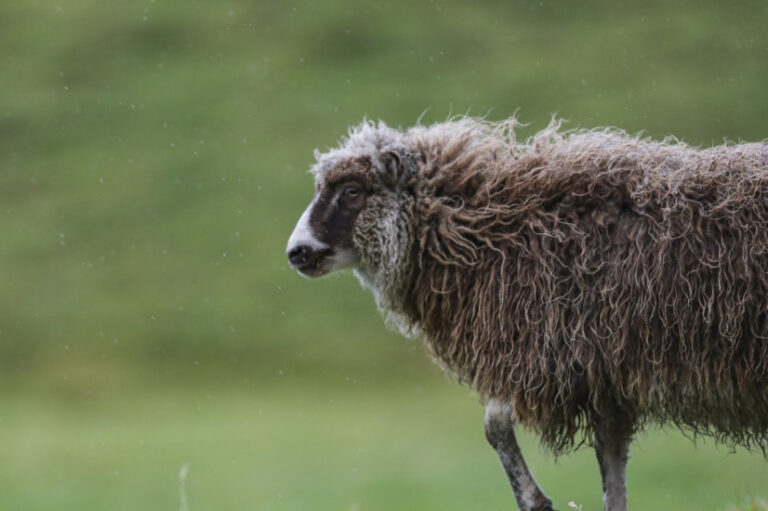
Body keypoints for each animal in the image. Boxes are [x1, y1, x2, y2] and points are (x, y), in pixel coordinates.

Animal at [284, 118, 768, 511]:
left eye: (352, 190)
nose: (297, 252)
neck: (488, 231)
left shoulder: (546, 354)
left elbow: (494, 426)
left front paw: (535, 501)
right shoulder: (602, 374)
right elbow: (610, 459)